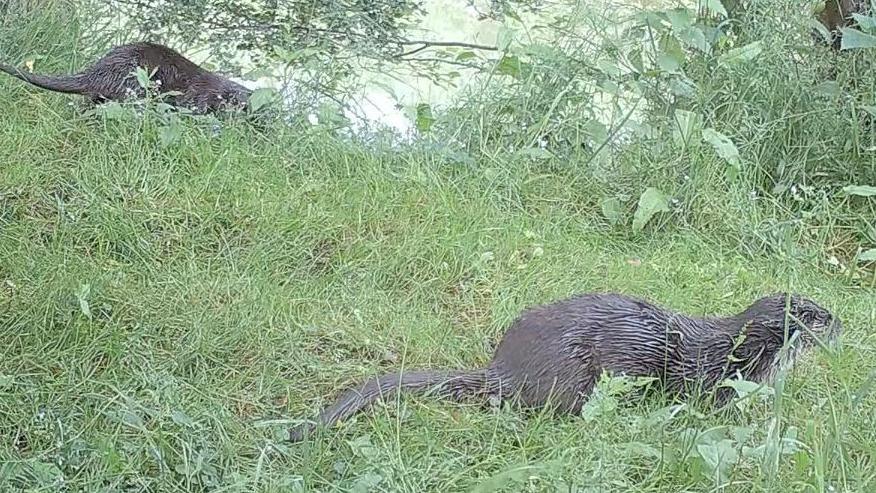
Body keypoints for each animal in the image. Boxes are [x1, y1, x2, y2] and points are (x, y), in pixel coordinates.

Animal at [290, 290, 840, 440]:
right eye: (818, 316)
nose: (843, 321)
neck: (737, 350)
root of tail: (506, 364)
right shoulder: (711, 381)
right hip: (575, 376)